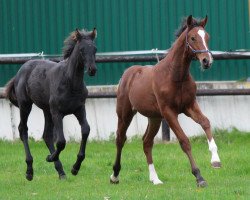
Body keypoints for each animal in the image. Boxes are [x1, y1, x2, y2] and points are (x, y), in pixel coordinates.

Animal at [4, 27, 97, 180]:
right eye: (82, 49)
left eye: (95, 49)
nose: (92, 70)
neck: (70, 82)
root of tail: (21, 70)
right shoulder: (57, 112)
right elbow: (61, 141)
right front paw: (50, 157)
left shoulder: (79, 109)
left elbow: (86, 130)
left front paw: (75, 167)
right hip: (26, 105)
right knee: (23, 129)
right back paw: (30, 170)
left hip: (46, 110)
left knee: (46, 135)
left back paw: (61, 171)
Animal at [109, 15, 221, 188]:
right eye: (193, 38)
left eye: (207, 37)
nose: (206, 61)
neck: (175, 76)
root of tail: (128, 73)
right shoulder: (169, 112)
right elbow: (184, 141)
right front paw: (199, 176)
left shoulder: (189, 106)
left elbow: (206, 122)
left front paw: (215, 160)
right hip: (125, 113)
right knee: (120, 139)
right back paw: (114, 176)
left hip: (154, 117)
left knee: (147, 142)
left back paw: (155, 179)